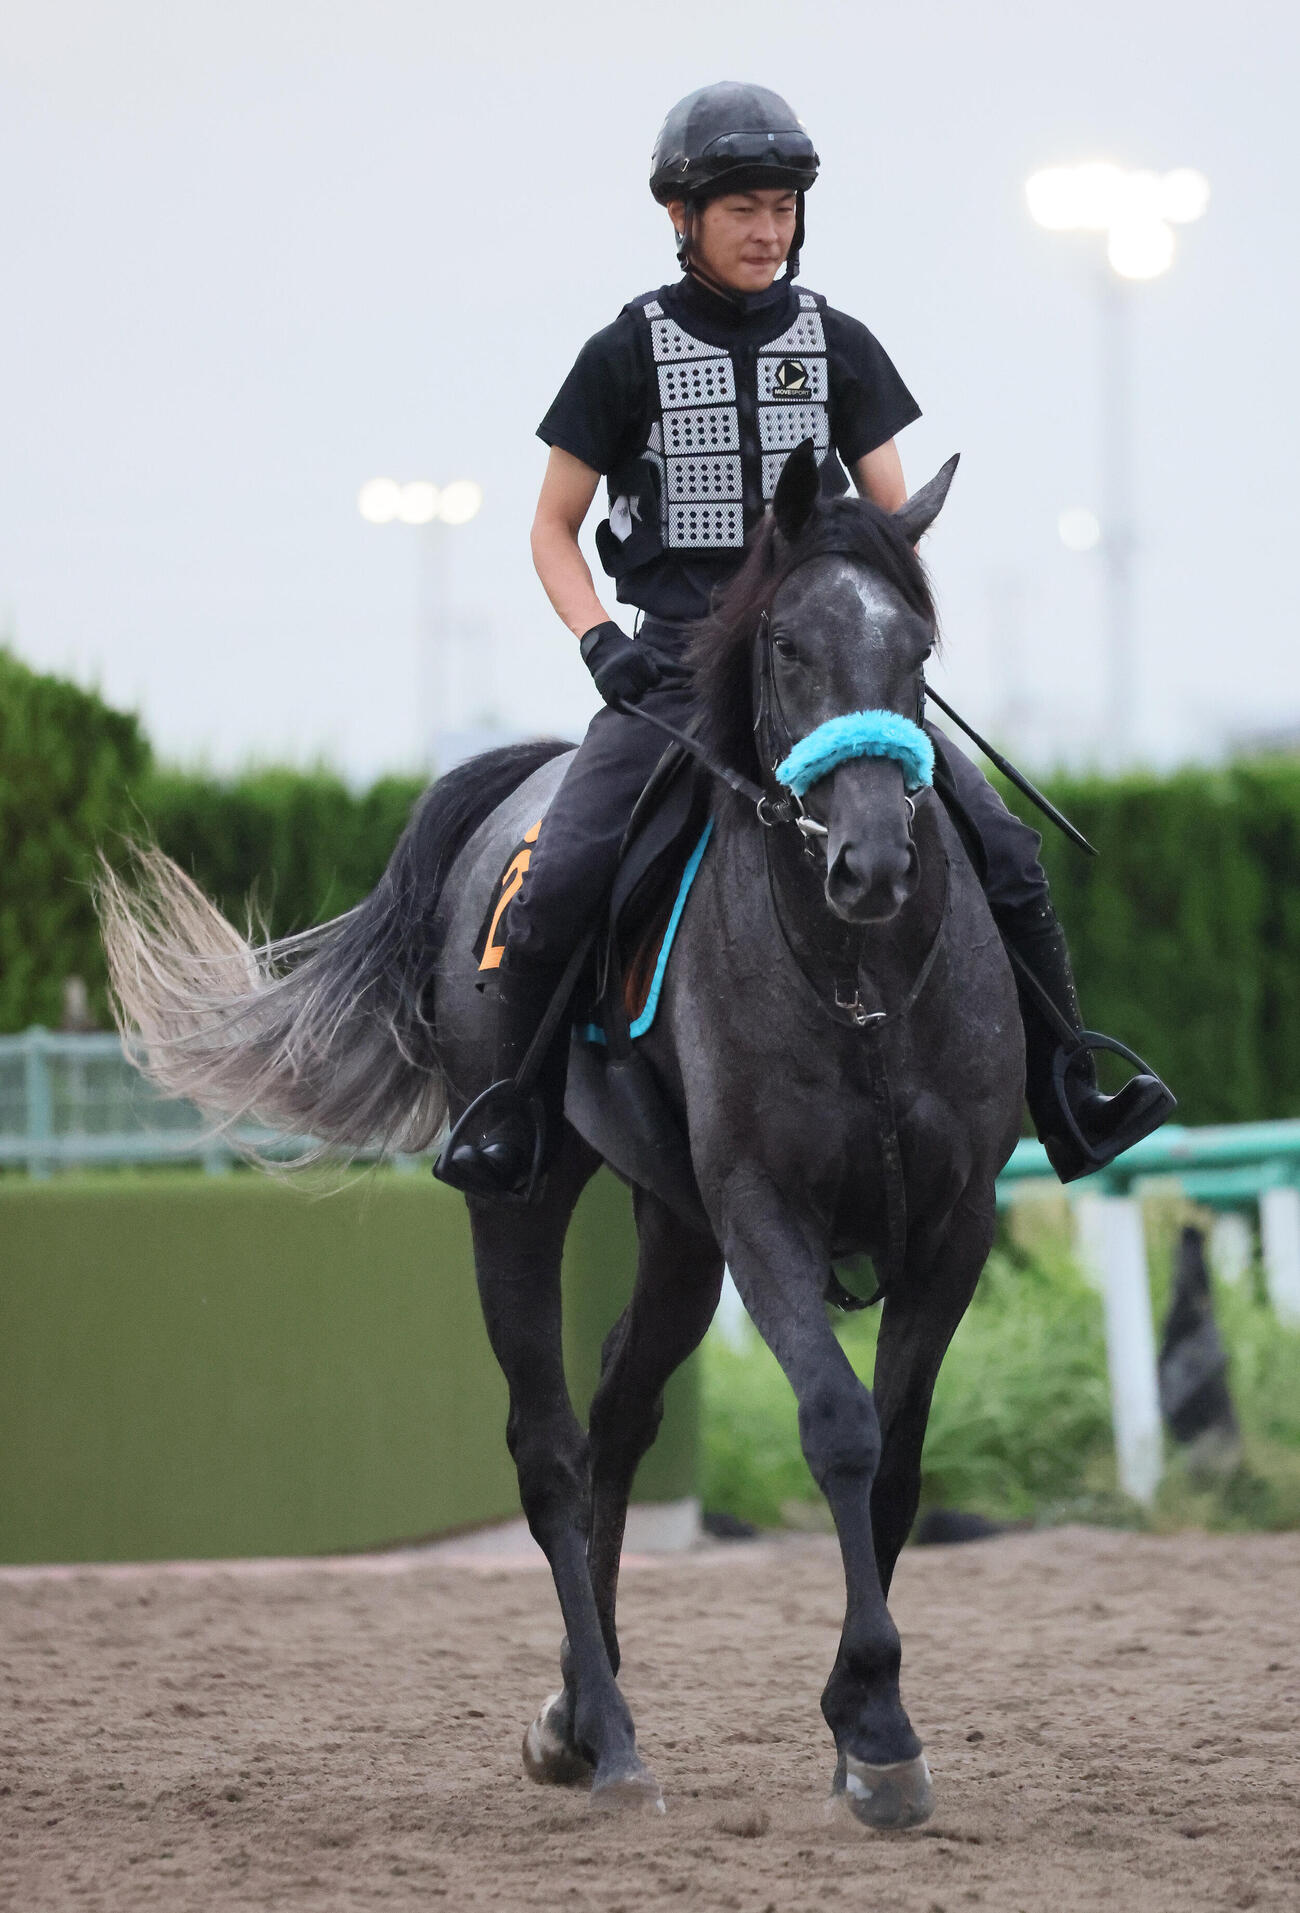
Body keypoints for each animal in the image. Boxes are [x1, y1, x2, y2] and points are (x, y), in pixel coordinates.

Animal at [98, 442, 1023, 1830]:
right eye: (789, 644)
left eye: (915, 645)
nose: (869, 862)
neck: (856, 976)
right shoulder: (764, 1212)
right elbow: (839, 1425)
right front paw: (874, 1723)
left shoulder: (951, 1227)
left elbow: (902, 1460)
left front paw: (863, 1724)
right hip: (523, 1200)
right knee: (547, 1446)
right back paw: (608, 1732)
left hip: (677, 1234)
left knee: (619, 1417)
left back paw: (581, 1711)